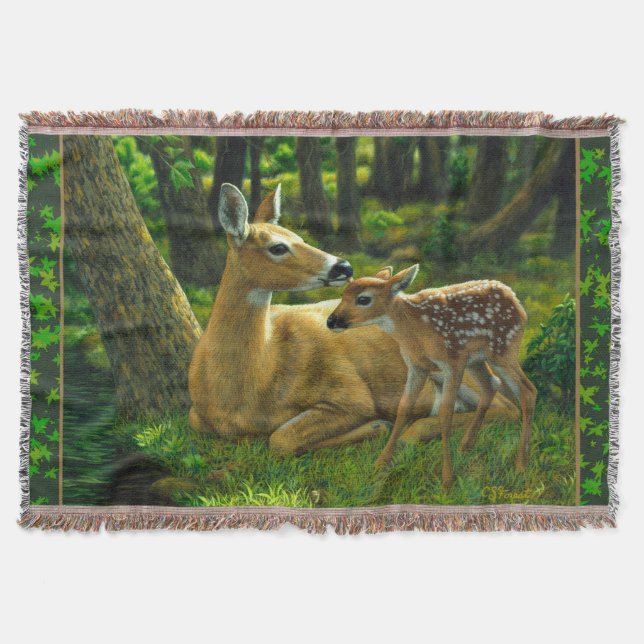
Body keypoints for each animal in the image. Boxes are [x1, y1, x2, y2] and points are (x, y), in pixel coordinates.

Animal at [189, 184, 520, 458]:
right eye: (278, 247)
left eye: (300, 237)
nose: (344, 266)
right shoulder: (197, 415)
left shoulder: (349, 392)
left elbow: (281, 439)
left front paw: (376, 426)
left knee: (505, 406)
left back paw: (411, 430)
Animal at [327, 265, 536, 487]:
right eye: (343, 294)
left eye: (363, 299)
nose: (331, 321)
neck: (414, 330)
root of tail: (515, 299)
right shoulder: (417, 366)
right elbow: (403, 407)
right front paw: (380, 462)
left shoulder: (452, 361)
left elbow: (445, 413)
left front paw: (447, 479)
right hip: (477, 359)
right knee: (491, 385)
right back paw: (466, 446)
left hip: (503, 348)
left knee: (527, 391)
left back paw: (521, 464)